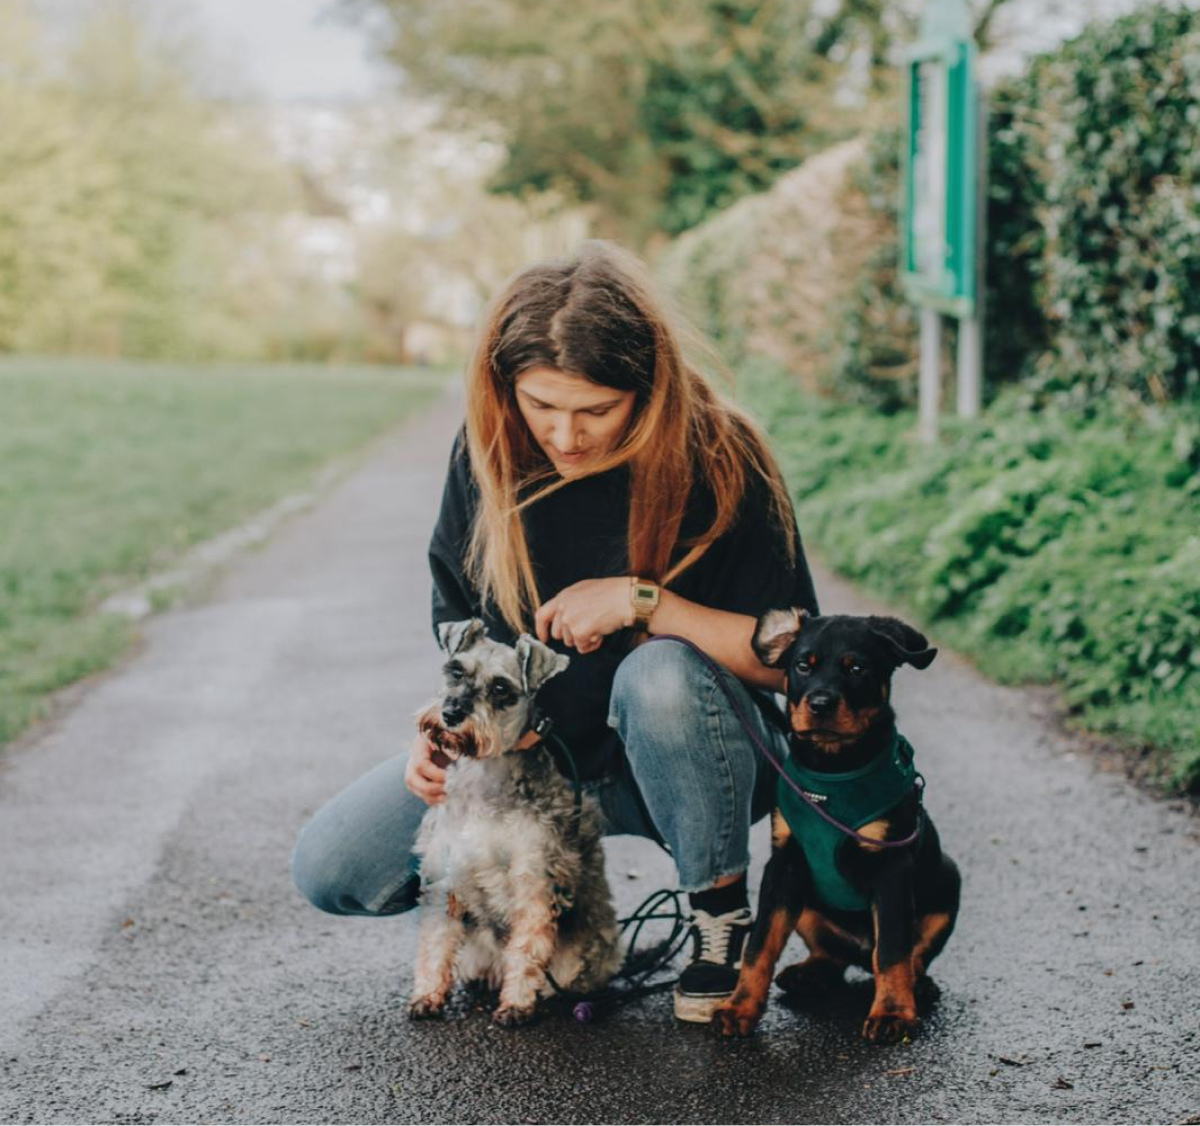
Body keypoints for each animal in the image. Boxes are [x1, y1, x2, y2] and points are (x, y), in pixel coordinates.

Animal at [410, 619, 624, 1022]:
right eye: (456, 670)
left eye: (500, 688)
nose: (451, 713)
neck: (483, 777)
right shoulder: (443, 875)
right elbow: (434, 940)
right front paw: (427, 996)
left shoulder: (533, 879)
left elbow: (526, 947)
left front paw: (516, 1004)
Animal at [715, 609, 960, 1041]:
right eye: (802, 665)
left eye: (857, 668)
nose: (820, 704)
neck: (833, 770)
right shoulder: (784, 864)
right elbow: (760, 943)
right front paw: (739, 1007)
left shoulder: (891, 868)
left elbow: (892, 949)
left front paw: (892, 1013)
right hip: (809, 902)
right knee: (832, 955)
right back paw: (808, 973)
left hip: (948, 879)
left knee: (909, 955)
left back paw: (918, 986)